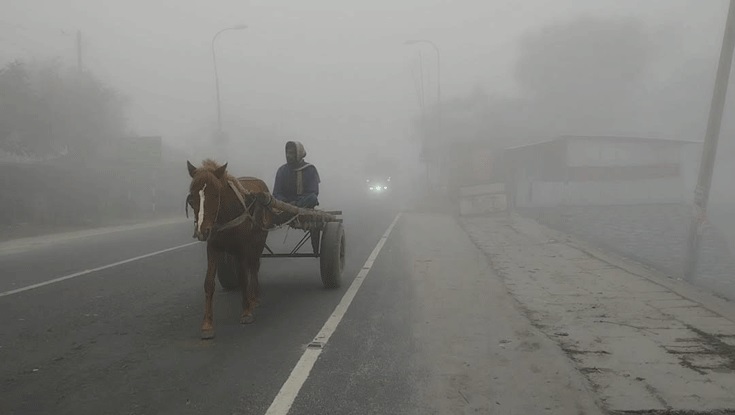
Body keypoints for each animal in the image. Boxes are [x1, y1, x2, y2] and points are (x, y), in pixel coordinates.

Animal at [187, 158, 274, 340]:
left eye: (215, 194)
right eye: (192, 198)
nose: (201, 231)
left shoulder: (242, 248)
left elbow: (243, 278)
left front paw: (247, 312)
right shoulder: (213, 247)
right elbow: (208, 283)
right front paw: (207, 325)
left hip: (259, 241)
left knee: (254, 266)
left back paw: (254, 298)